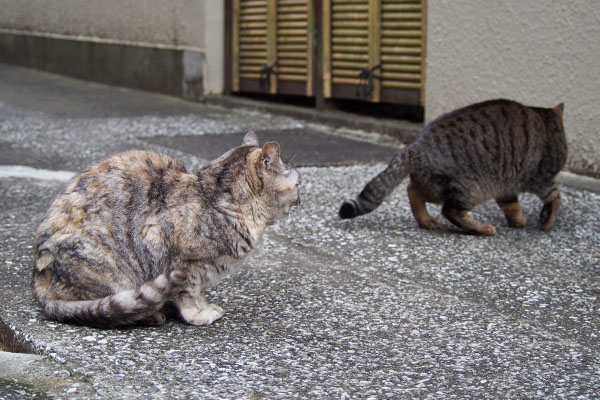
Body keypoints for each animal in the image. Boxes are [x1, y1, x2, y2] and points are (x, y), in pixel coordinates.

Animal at [32, 133, 300, 326]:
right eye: (297, 185)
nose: (301, 200)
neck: (219, 200)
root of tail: (40, 286)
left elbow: (199, 292)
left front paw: (205, 307)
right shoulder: (181, 260)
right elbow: (189, 292)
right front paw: (197, 314)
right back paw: (151, 314)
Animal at [342, 99, 568, 234]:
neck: (547, 121)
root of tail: (414, 147)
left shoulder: (507, 186)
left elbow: (511, 206)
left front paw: (519, 221)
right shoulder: (539, 177)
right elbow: (555, 197)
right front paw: (546, 221)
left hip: (435, 185)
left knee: (412, 191)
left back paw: (426, 221)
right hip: (470, 189)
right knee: (450, 211)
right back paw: (482, 228)